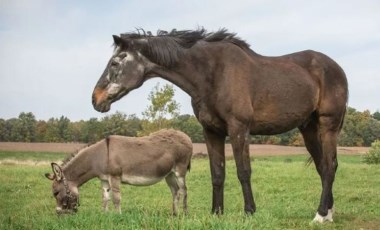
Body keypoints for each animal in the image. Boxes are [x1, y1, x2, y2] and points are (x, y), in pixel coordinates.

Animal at [91, 28, 348, 223]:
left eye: (115, 62)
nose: (96, 99)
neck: (213, 73)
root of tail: (336, 67)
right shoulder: (211, 131)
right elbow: (217, 173)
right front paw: (216, 212)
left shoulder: (239, 129)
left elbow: (243, 171)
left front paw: (249, 212)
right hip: (308, 129)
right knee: (323, 166)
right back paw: (328, 213)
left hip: (328, 125)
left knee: (330, 166)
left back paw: (320, 215)